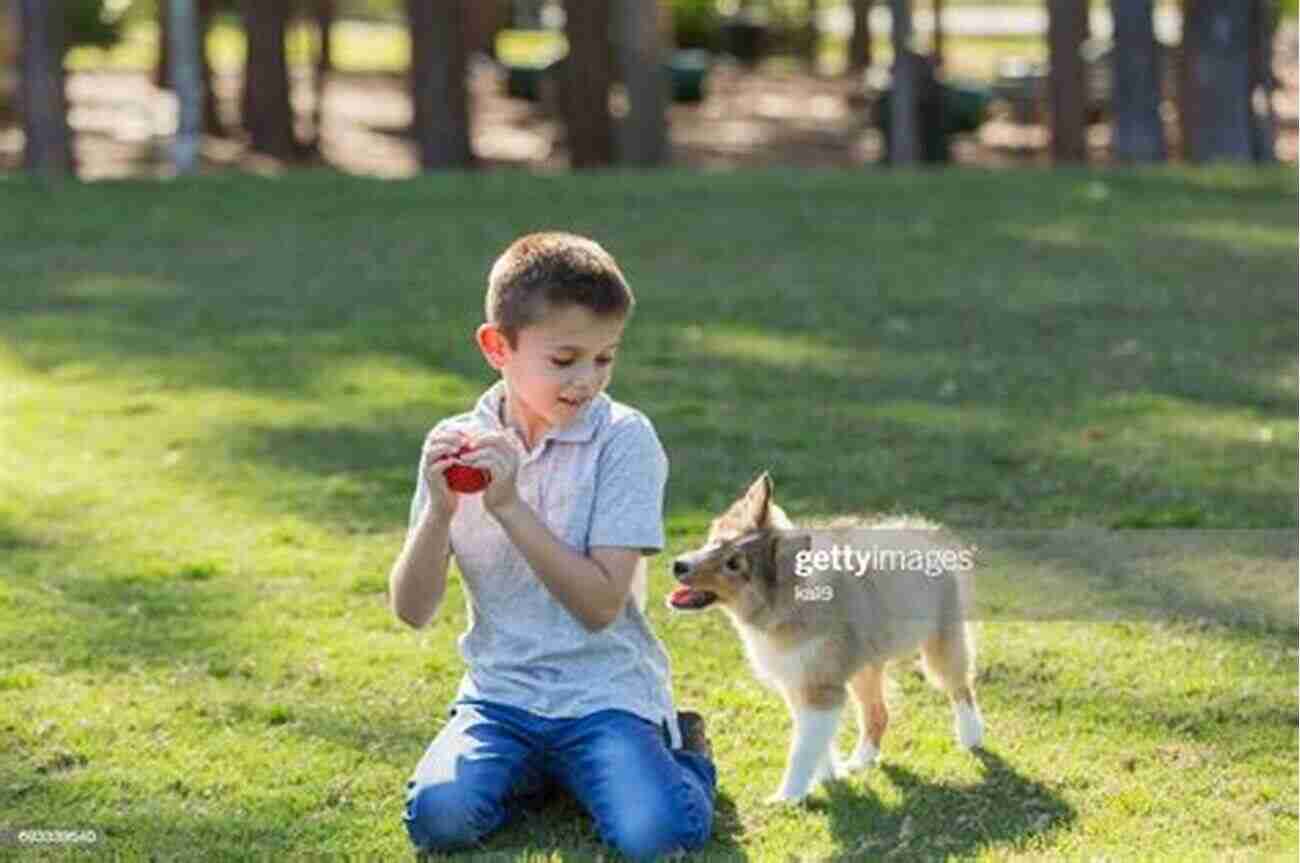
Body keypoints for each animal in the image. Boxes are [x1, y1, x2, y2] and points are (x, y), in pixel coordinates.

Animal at [670, 473, 982, 800]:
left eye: (734, 564)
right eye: (715, 542)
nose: (678, 565)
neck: (783, 607)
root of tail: (925, 535)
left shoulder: (819, 687)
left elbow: (803, 748)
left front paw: (787, 797)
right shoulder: (797, 682)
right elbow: (818, 741)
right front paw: (829, 776)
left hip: (941, 641)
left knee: (960, 686)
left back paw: (971, 737)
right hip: (865, 666)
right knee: (878, 713)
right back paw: (860, 761)